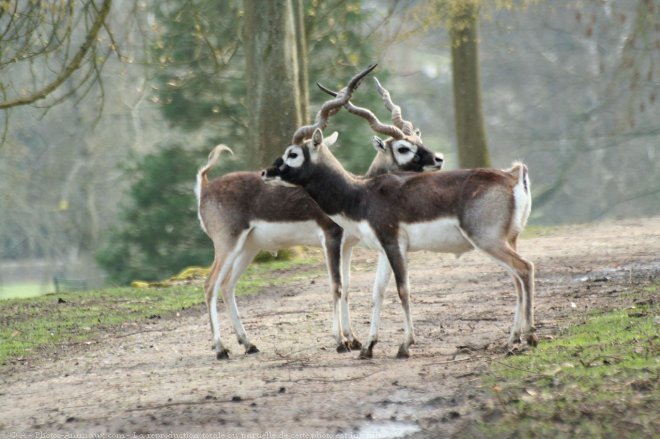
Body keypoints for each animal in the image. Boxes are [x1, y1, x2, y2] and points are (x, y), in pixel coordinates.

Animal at [196, 65, 444, 360]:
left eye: (419, 140)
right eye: (403, 147)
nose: (439, 159)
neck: (354, 188)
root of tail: (205, 186)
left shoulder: (348, 245)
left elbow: (346, 287)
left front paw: (354, 339)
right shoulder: (331, 239)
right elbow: (335, 286)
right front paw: (340, 342)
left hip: (248, 248)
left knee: (227, 286)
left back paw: (248, 344)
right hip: (227, 244)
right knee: (210, 285)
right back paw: (220, 349)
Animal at [262, 128, 536, 360]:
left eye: (293, 153)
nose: (266, 172)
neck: (361, 195)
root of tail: (512, 177)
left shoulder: (394, 244)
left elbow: (403, 290)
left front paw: (404, 345)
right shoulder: (384, 249)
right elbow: (377, 292)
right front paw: (368, 346)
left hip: (488, 241)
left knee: (525, 269)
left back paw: (530, 337)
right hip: (508, 240)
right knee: (517, 280)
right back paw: (513, 339)